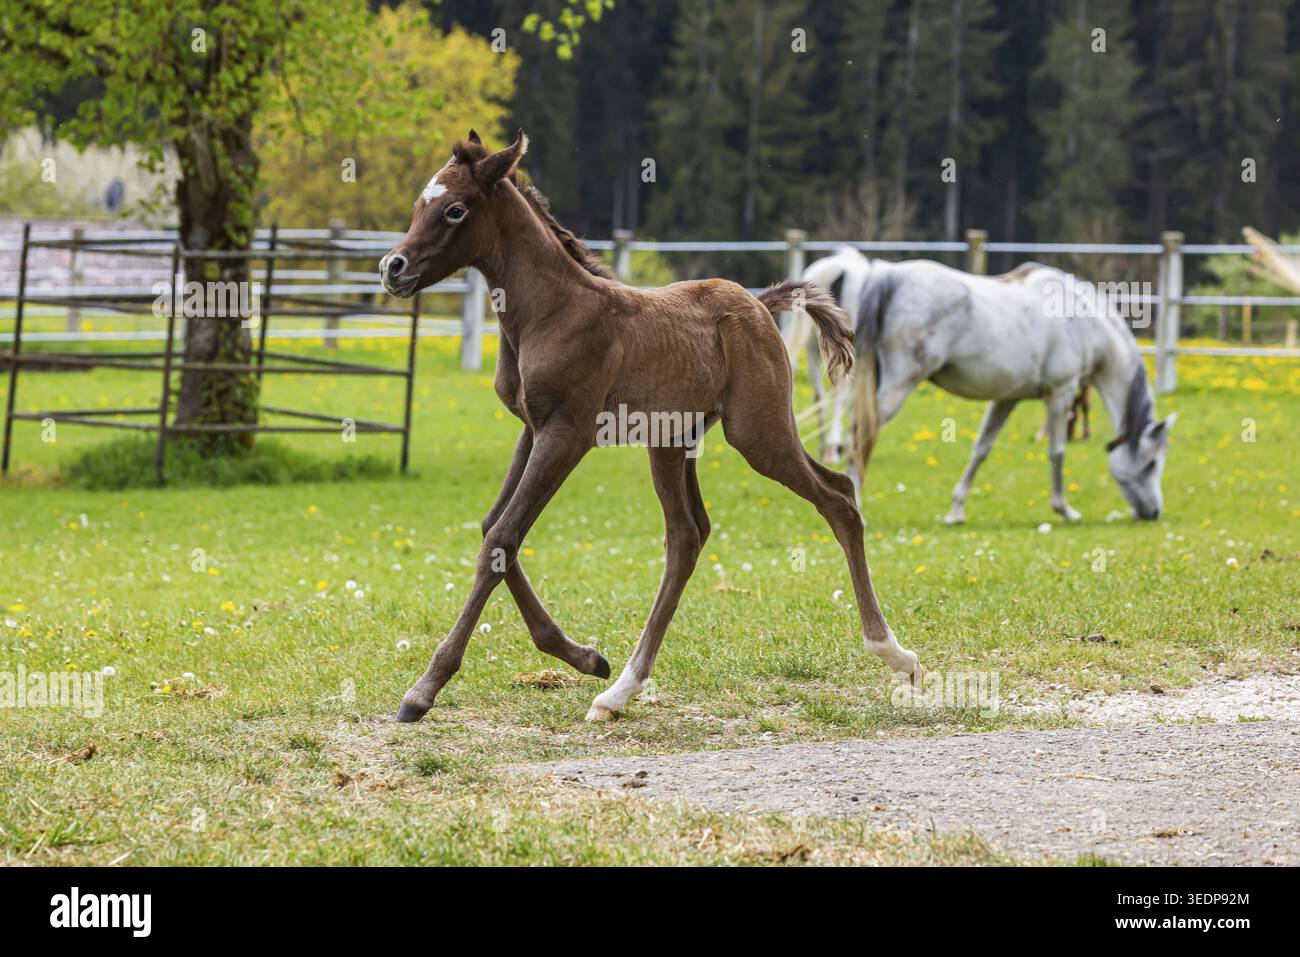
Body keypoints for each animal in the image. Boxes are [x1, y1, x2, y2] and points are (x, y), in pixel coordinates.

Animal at [379, 131, 923, 723]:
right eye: (418, 204)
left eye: (455, 209)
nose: (392, 267)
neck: (550, 311)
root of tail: (759, 302)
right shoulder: (531, 428)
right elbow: (493, 530)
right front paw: (586, 657)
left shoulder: (567, 433)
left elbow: (502, 536)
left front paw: (423, 691)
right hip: (674, 440)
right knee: (690, 534)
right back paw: (619, 689)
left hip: (756, 432)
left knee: (837, 497)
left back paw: (895, 654)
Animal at [788, 247, 1175, 523]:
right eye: (1151, 464)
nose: (1154, 512)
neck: (1081, 318)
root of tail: (887, 275)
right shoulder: (1061, 392)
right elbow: (1057, 451)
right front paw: (1064, 509)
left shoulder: (1007, 398)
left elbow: (981, 448)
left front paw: (956, 510)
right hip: (895, 388)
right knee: (860, 437)